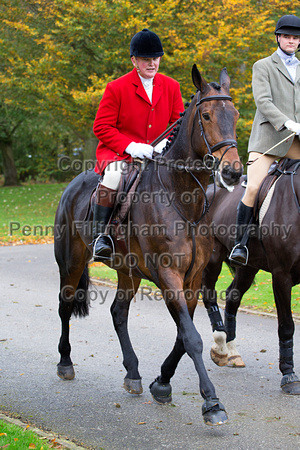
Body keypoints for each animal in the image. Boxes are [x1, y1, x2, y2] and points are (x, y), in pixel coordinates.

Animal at [54, 63, 243, 426]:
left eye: (236, 115)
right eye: (207, 115)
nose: (233, 172)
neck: (183, 198)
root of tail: (73, 184)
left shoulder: (192, 279)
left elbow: (184, 336)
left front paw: (162, 383)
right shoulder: (168, 276)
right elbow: (192, 338)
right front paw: (212, 402)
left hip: (128, 272)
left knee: (118, 313)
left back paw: (133, 373)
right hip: (71, 262)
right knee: (65, 306)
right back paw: (65, 363)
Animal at [200, 160, 300, 396]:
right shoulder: (281, 276)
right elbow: (286, 325)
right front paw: (289, 375)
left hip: (249, 267)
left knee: (232, 298)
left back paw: (232, 352)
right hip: (213, 258)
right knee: (209, 295)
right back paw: (221, 346)